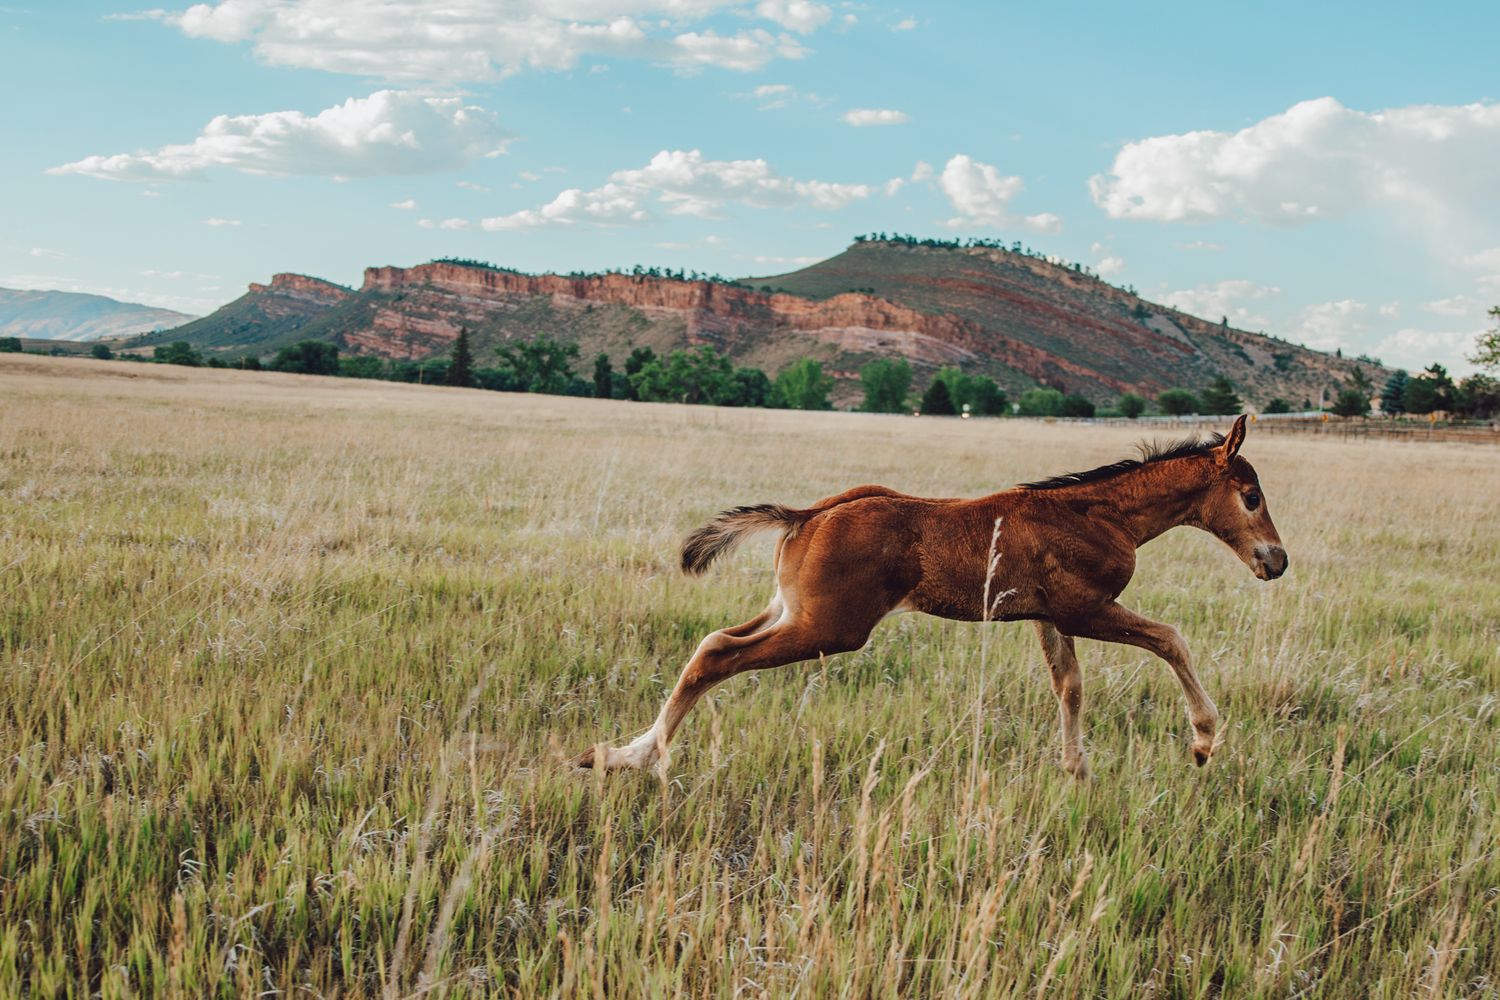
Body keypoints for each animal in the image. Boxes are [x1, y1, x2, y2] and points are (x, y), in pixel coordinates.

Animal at [573, 414, 1287, 779]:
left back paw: (618, 751)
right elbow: (1171, 639)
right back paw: (639, 757)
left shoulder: (1048, 615)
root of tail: (807, 515)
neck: (1100, 514)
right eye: (1251, 496)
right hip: (831, 628)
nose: (1275, 561)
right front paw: (1203, 740)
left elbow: (1070, 686)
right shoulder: (1086, 609)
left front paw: (1075, 772)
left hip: (791, 611)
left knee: (713, 640)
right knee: (717, 655)